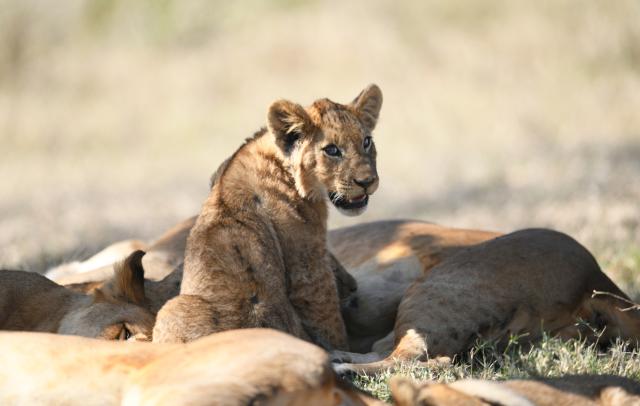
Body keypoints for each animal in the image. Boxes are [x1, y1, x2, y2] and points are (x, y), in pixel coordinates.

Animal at [152, 85, 383, 349]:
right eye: (332, 150)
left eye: (366, 142)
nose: (367, 182)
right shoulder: (307, 260)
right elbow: (326, 313)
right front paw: (341, 347)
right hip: (171, 309)